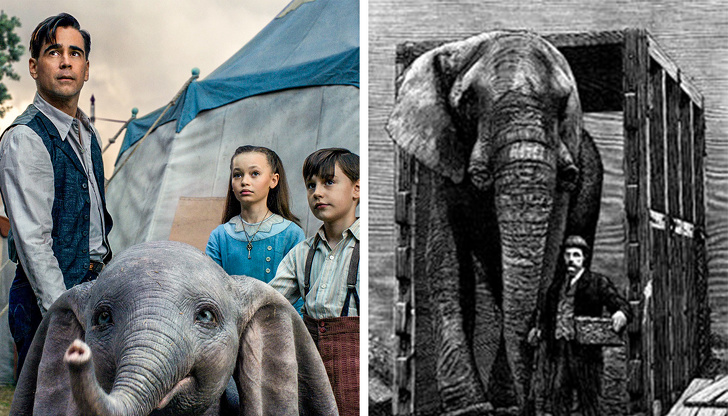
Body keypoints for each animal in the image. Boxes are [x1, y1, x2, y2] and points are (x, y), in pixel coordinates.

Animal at [385, 30, 603, 413]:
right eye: (469, 101)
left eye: (563, 103)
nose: (528, 403)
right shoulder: (443, 164)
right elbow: (447, 261)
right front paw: (470, 407)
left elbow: (548, 258)